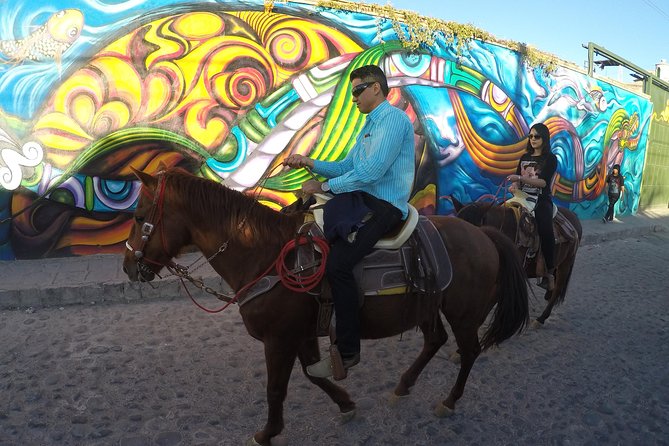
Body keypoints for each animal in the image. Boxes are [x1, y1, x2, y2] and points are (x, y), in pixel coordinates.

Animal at [120, 166, 528, 444]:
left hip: (464, 314)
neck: (265, 254)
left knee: (468, 350)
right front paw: (346, 404)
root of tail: (484, 234)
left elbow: (277, 388)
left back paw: (449, 400)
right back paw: (403, 386)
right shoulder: (300, 333)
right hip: (428, 306)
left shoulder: (279, 339)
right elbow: (314, 374)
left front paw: (267, 432)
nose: (128, 267)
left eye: (139, 217)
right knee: (435, 341)